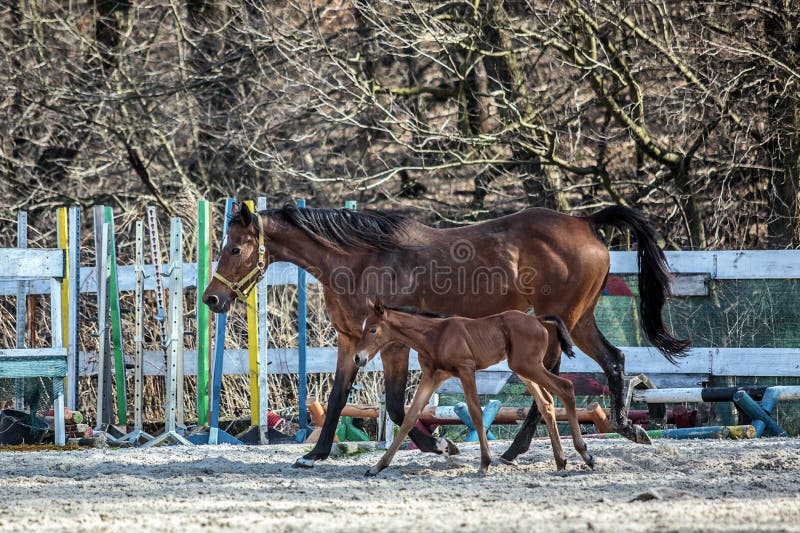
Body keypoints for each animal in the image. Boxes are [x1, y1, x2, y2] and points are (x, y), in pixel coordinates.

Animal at [354, 298, 592, 476]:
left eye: (373, 329)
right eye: (364, 327)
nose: (358, 358)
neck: (434, 335)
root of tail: (537, 319)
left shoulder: (466, 369)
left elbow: (476, 413)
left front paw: (485, 463)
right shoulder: (433, 377)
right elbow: (410, 418)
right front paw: (377, 467)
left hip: (528, 366)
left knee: (566, 387)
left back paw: (585, 454)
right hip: (524, 370)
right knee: (547, 403)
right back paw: (561, 461)